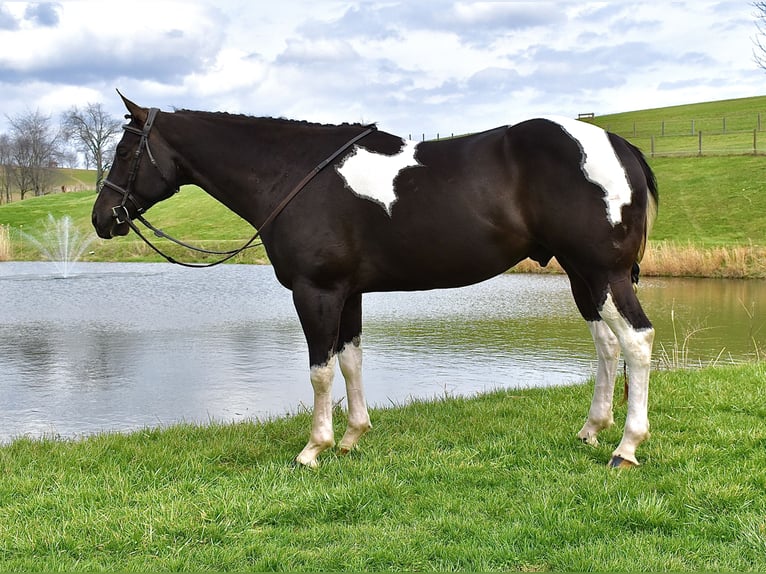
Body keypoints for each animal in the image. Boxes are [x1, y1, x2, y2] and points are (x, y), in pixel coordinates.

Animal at [92, 94, 658, 469]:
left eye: (123, 152)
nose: (102, 219)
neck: (295, 174)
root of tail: (619, 144)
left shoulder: (316, 292)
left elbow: (321, 371)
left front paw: (314, 449)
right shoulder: (349, 294)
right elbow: (351, 360)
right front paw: (352, 438)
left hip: (604, 274)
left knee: (636, 341)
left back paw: (626, 447)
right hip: (583, 276)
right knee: (607, 346)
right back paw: (591, 430)